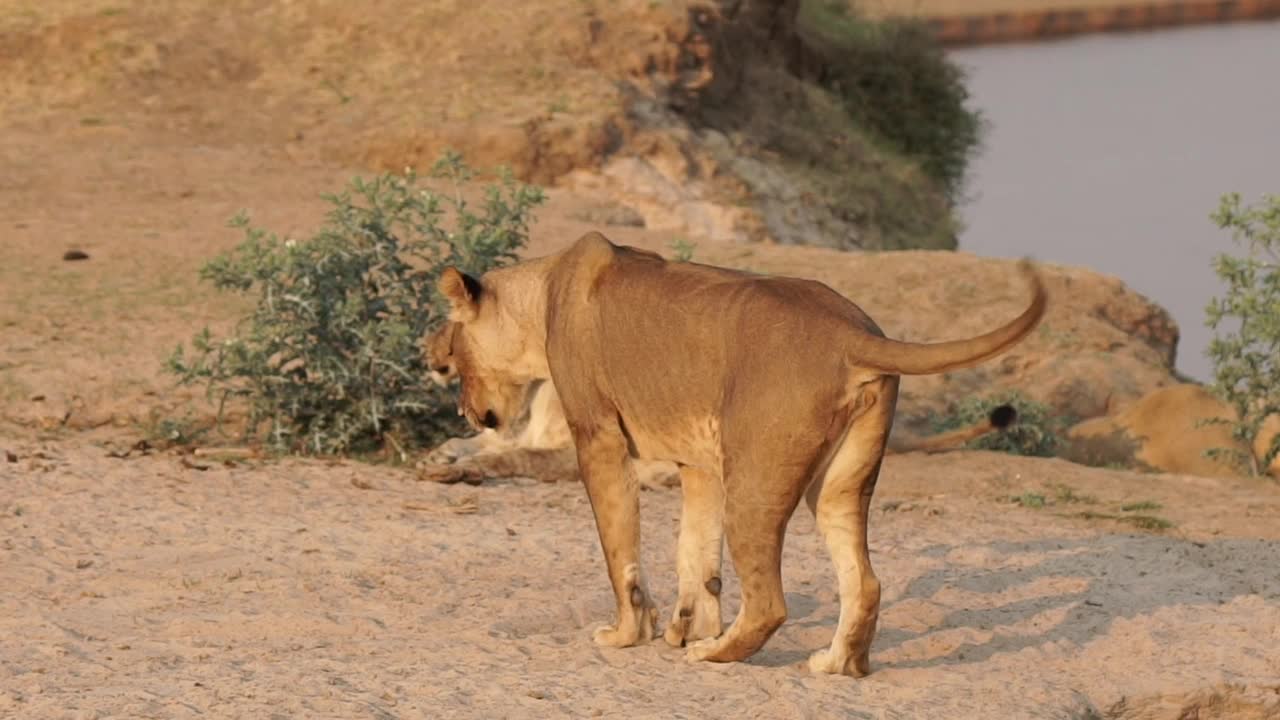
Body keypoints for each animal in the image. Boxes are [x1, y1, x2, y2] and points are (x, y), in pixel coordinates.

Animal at [435, 233, 1044, 676]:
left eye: (451, 353)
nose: (461, 407)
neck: (540, 299)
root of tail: (853, 332)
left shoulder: (598, 437)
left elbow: (620, 548)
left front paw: (630, 634)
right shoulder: (700, 462)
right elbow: (695, 553)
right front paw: (686, 626)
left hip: (756, 478)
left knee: (772, 600)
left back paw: (717, 654)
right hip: (838, 483)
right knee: (865, 581)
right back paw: (835, 664)